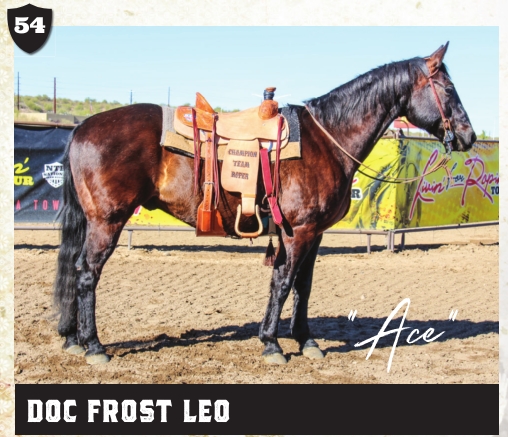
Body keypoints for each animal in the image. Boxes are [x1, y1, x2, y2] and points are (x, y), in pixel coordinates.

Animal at [53, 42, 476, 365]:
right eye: (449, 89)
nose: (469, 136)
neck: (327, 138)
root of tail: (82, 127)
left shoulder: (314, 234)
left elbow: (303, 285)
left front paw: (305, 340)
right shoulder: (298, 231)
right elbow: (283, 281)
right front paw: (272, 343)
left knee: (75, 268)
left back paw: (73, 339)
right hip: (107, 221)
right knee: (88, 273)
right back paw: (94, 346)